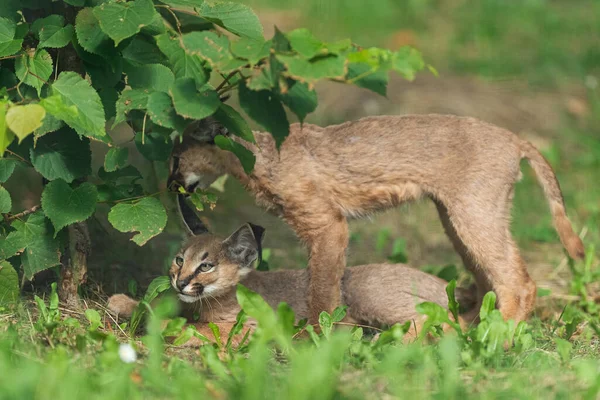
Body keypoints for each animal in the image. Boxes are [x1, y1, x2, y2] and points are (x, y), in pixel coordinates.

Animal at [108, 195, 474, 342]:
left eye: (207, 266)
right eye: (179, 260)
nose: (180, 282)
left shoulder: (248, 328)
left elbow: (194, 328)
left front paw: (161, 325)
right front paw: (126, 303)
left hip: (366, 293)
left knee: (451, 322)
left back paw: (396, 340)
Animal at [166, 114, 584, 326]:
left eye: (175, 159)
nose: (169, 186)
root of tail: (514, 137)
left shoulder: (328, 226)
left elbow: (322, 291)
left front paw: (315, 340)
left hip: (473, 215)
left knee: (520, 283)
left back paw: (499, 341)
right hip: (457, 220)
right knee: (488, 281)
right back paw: (470, 331)